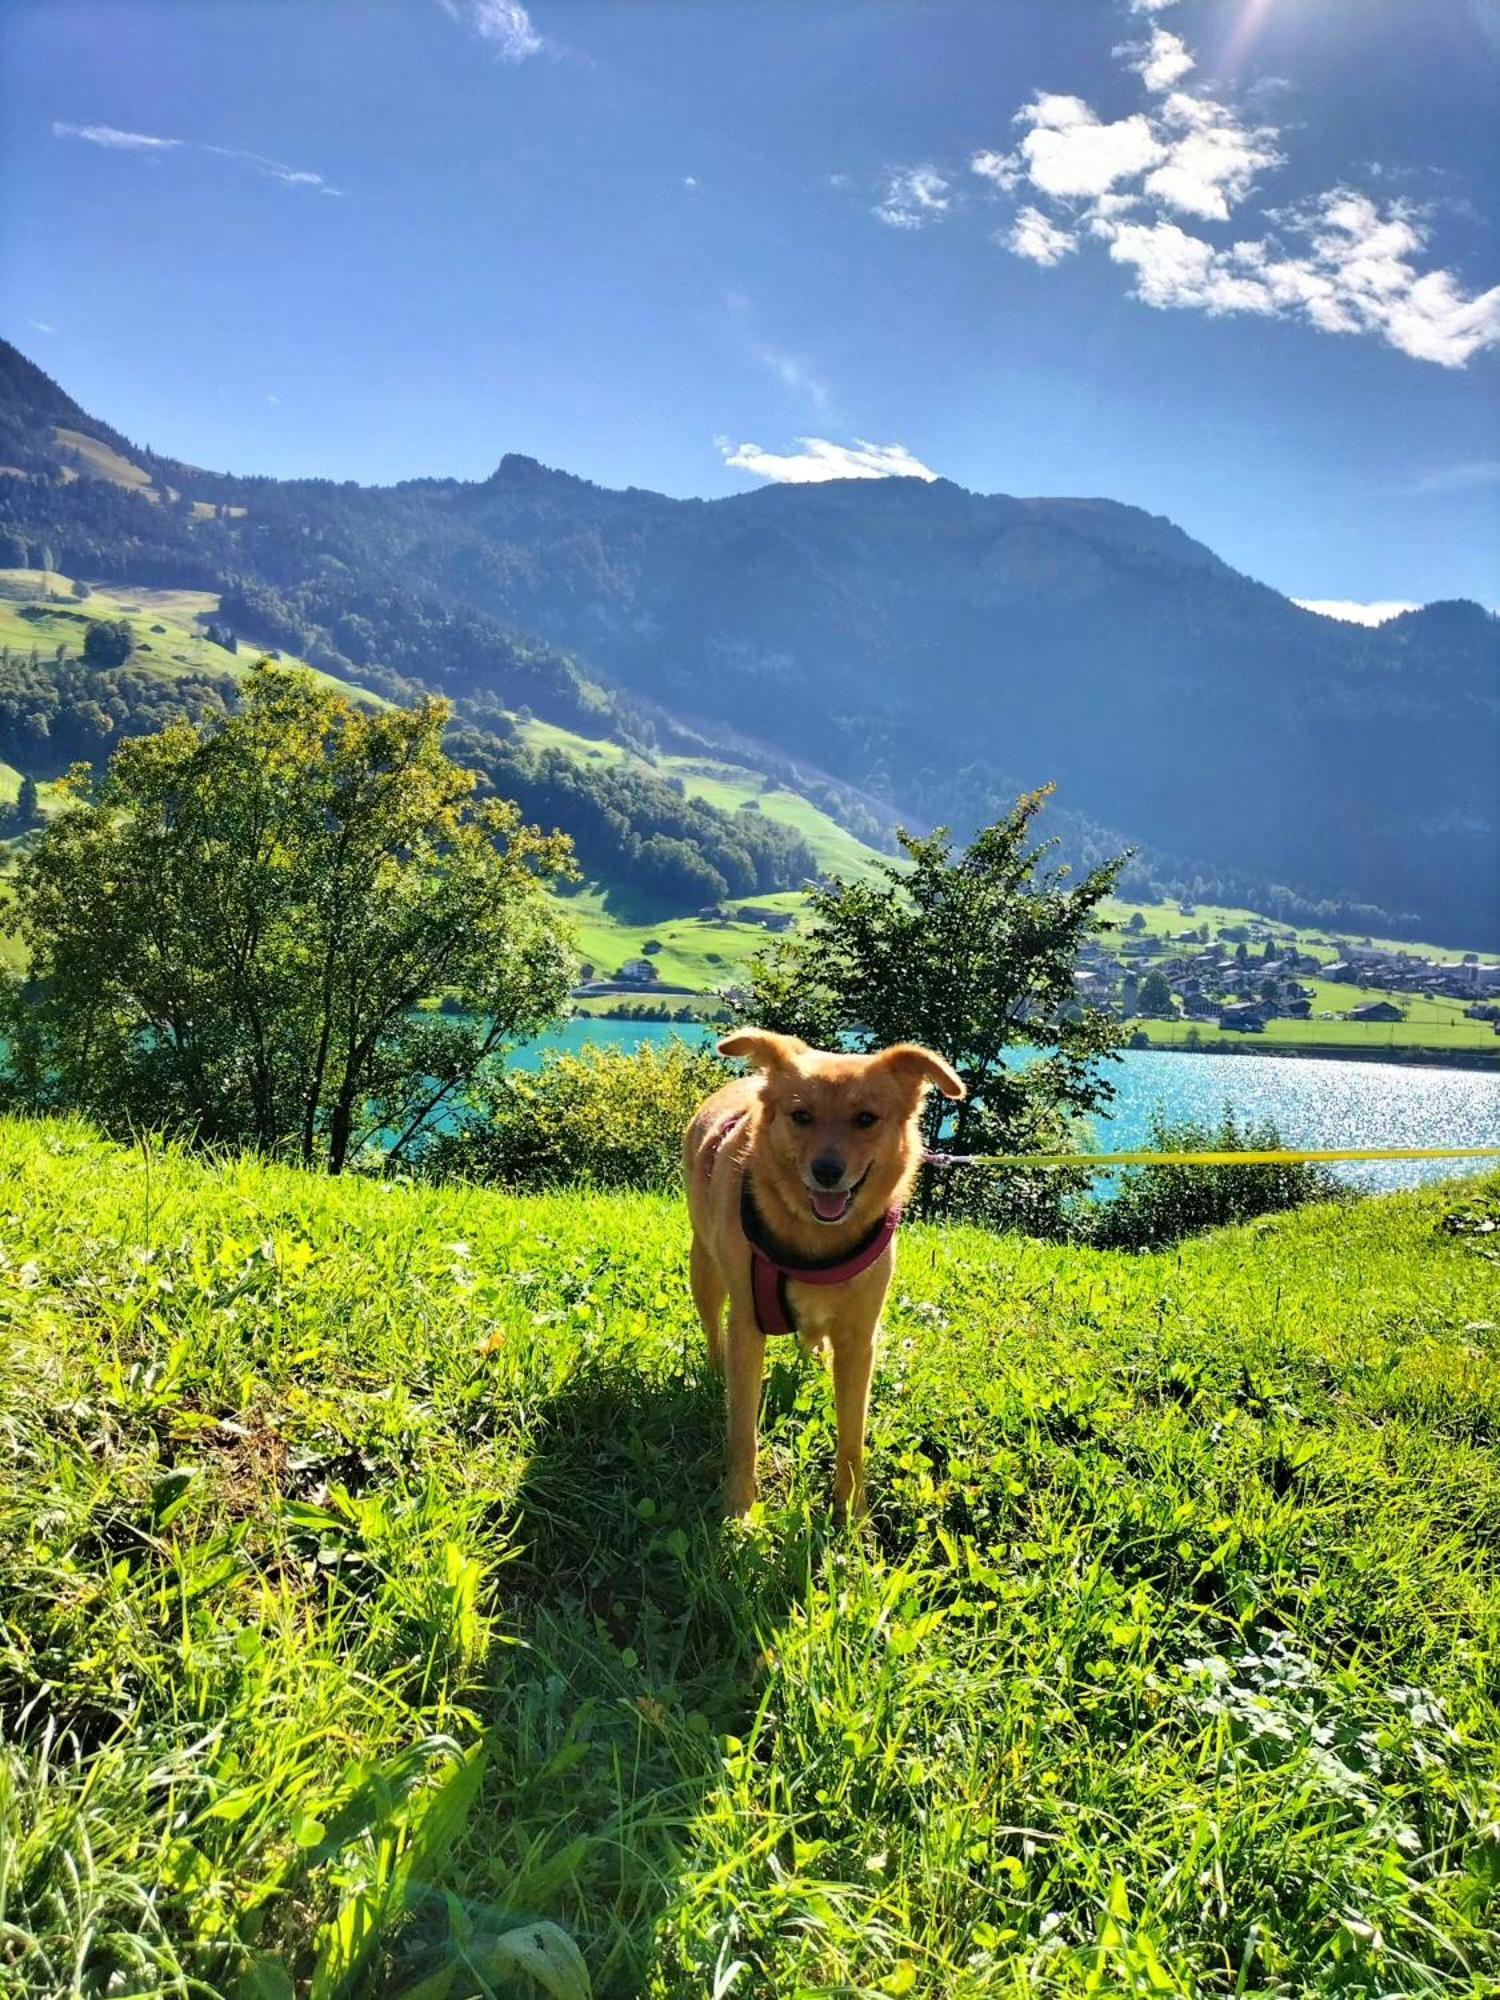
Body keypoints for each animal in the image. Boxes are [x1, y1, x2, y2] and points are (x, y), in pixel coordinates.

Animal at [688, 1032, 968, 1512]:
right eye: (802, 1115)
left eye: (866, 1118)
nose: (827, 1172)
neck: (816, 1242)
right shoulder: (747, 1326)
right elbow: (743, 1432)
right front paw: (739, 1508)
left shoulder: (859, 1339)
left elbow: (852, 1436)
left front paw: (851, 1514)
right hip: (703, 1269)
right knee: (712, 1330)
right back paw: (715, 1370)